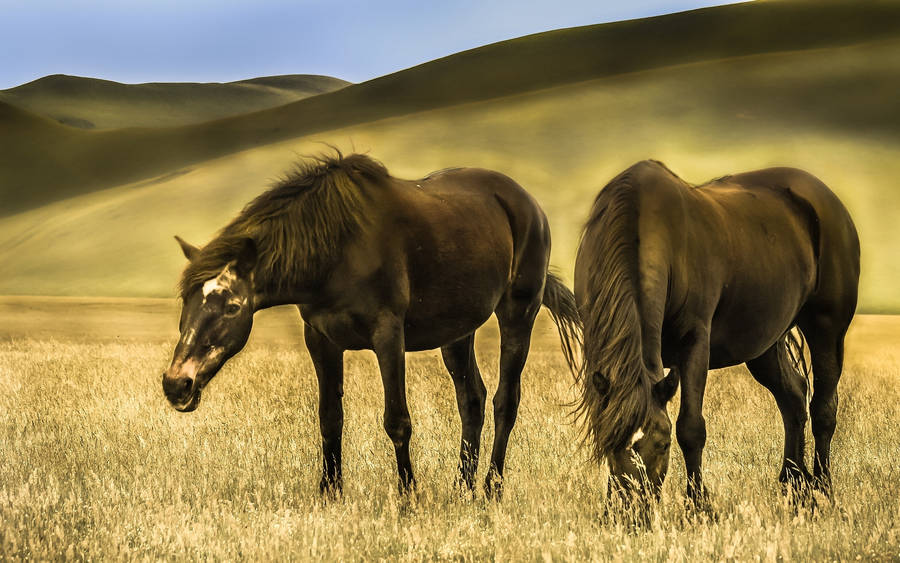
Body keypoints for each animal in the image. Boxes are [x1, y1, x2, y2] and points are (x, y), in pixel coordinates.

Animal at [162, 151, 584, 498]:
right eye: (186, 300)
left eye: (233, 307)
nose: (176, 384)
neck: (338, 250)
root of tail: (528, 205)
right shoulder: (321, 339)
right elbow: (330, 418)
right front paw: (330, 493)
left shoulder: (388, 336)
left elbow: (397, 419)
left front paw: (408, 496)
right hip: (458, 333)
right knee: (472, 401)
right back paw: (461, 488)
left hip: (518, 314)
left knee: (504, 402)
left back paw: (492, 489)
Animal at [572, 159, 860, 506]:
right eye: (611, 443)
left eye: (662, 444)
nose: (632, 510)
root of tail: (827, 200)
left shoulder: (694, 343)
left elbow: (691, 429)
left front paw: (698, 505)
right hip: (765, 345)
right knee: (793, 398)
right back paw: (794, 485)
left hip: (827, 329)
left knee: (823, 409)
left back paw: (822, 488)